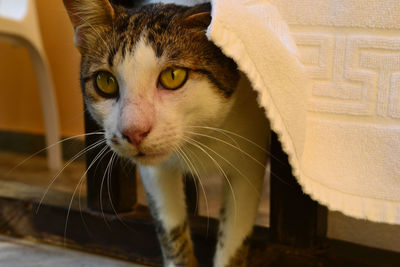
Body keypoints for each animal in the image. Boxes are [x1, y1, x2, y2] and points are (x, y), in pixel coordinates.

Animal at [62, 1, 268, 266]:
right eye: (105, 81)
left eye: (173, 76)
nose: (133, 131)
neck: (200, 136)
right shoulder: (156, 171)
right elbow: (171, 231)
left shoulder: (249, 161)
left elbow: (233, 241)